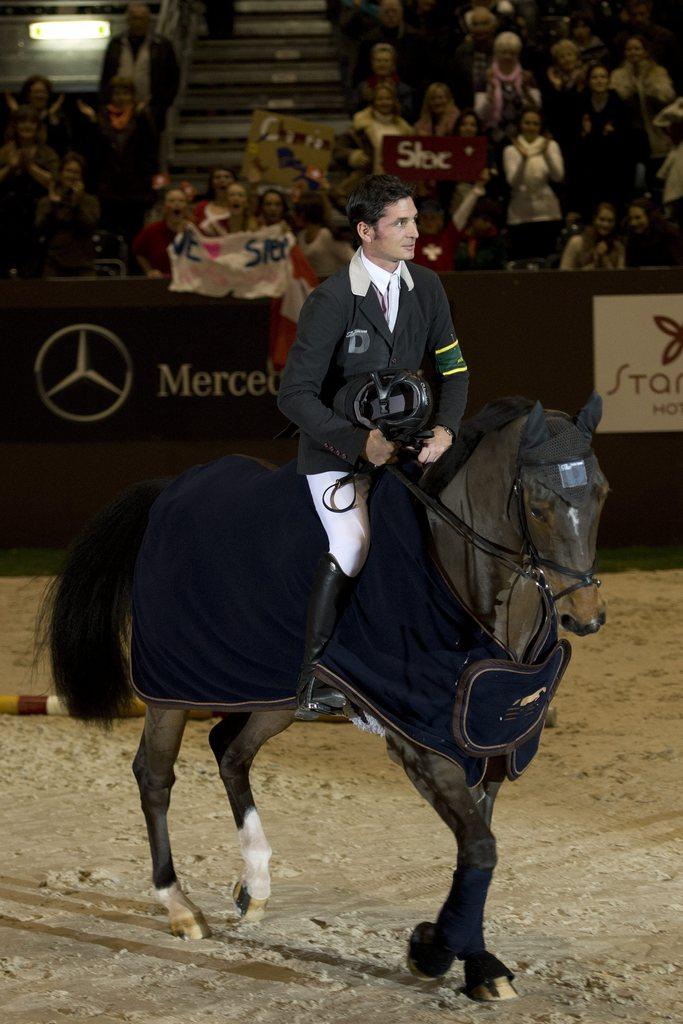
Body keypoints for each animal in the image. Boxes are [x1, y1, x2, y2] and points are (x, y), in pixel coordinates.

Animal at [42, 395, 610, 1003]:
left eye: (600, 493)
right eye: (540, 506)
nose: (586, 617)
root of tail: (171, 489)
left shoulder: (490, 749)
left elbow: (479, 849)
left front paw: (479, 963)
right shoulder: (423, 749)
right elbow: (481, 849)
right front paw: (432, 950)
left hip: (273, 698)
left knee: (230, 750)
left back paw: (255, 883)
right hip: (172, 688)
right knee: (155, 774)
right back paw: (178, 905)